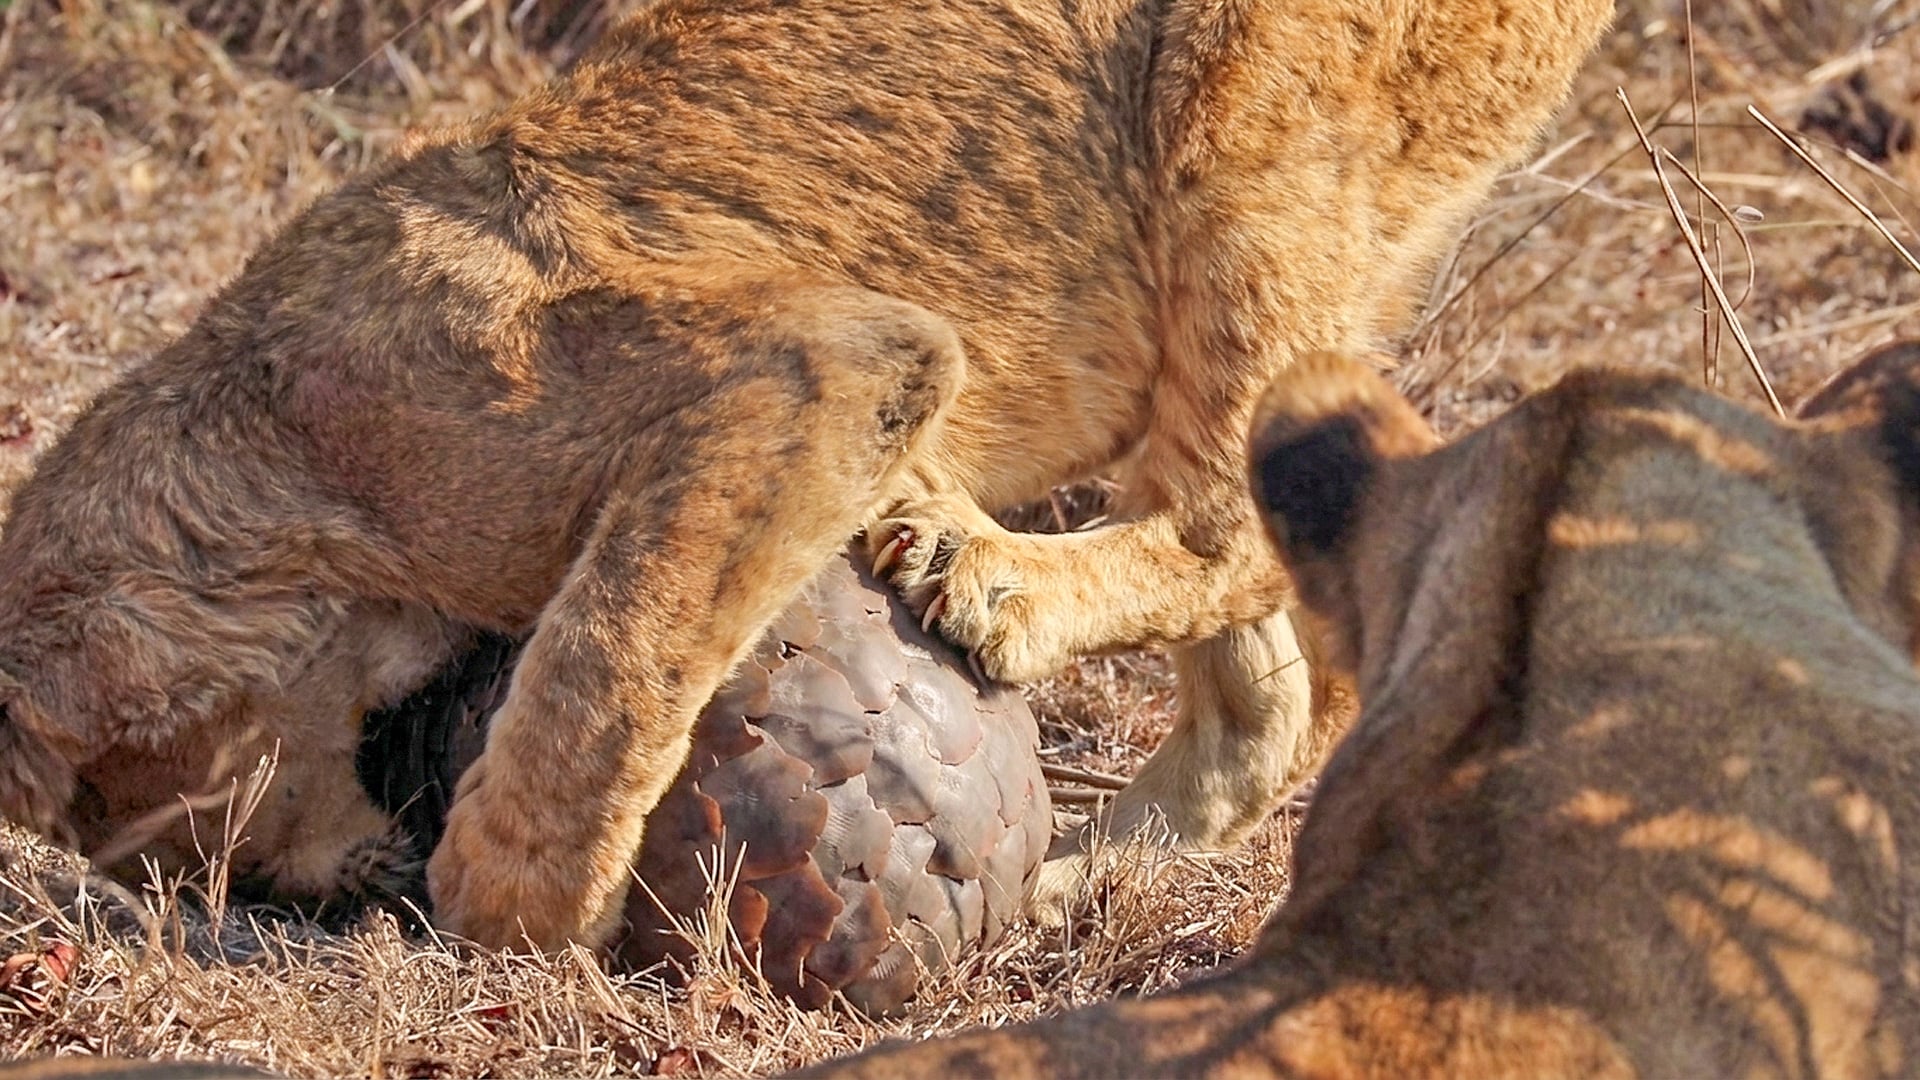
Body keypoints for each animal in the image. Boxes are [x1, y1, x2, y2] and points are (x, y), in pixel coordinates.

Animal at [0, 0, 1612, 951]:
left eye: (179, 828)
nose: (324, 891)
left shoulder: (814, 363)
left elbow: (616, 645)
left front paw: (511, 910)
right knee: (1277, 691)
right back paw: (1078, 877)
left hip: (1244, 126)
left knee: (1253, 520)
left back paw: (985, 569)